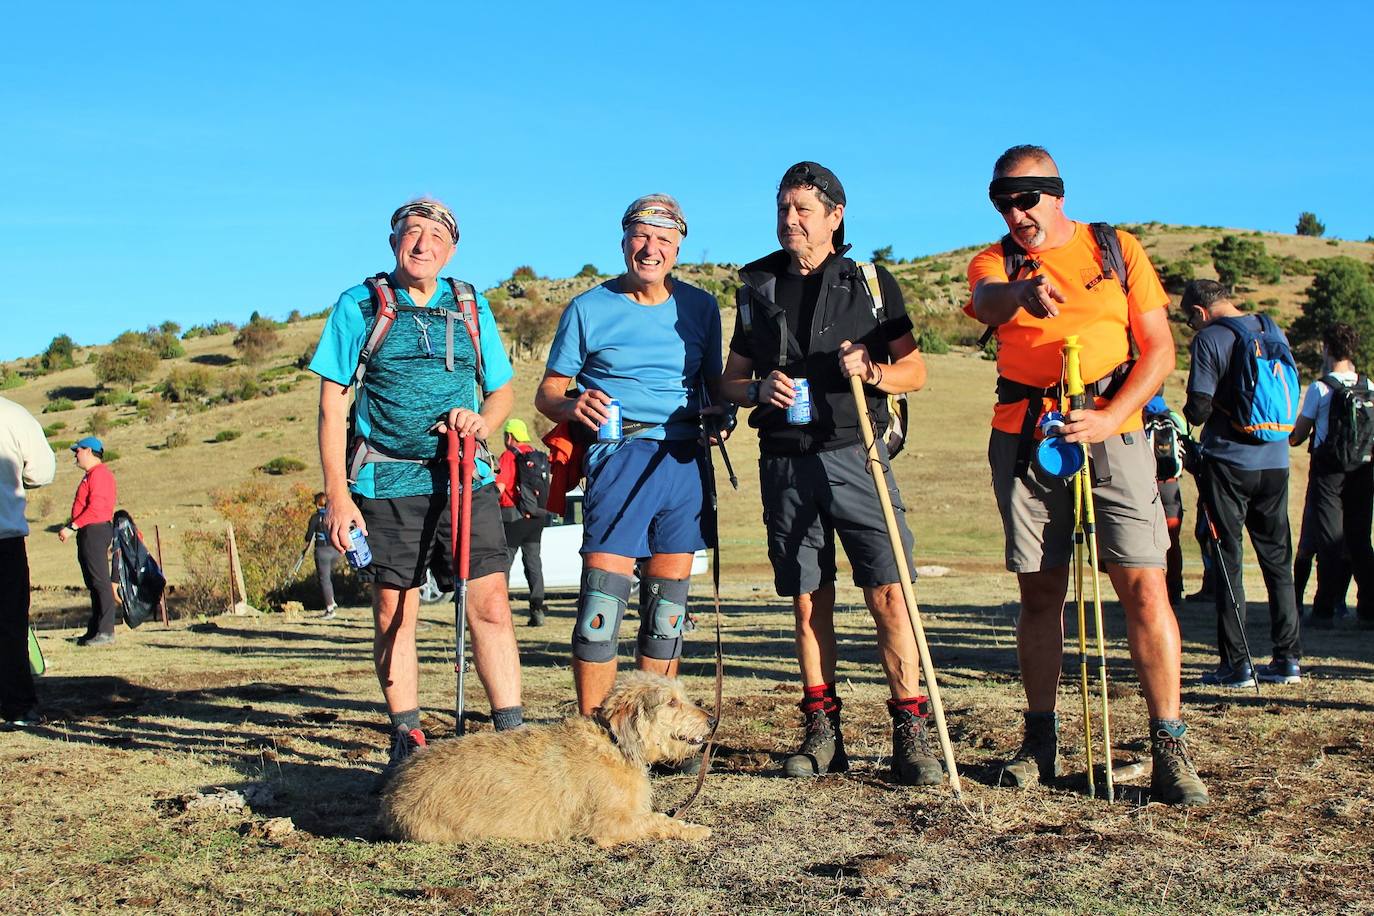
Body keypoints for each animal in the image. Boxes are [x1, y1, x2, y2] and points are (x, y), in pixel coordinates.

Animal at [379, 670, 714, 851]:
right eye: (671, 702)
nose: (712, 720)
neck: (612, 741)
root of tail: (392, 796)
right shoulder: (609, 824)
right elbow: (657, 820)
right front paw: (695, 829)